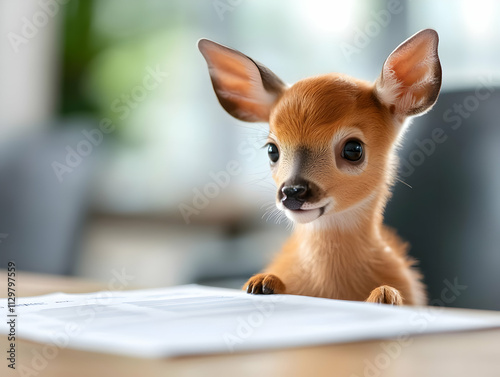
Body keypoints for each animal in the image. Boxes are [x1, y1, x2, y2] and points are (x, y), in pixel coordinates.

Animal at [199, 30, 442, 306]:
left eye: (353, 149)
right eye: (272, 150)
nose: (292, 192)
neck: (331, 288)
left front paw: (385, 293)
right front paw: (262, 282)